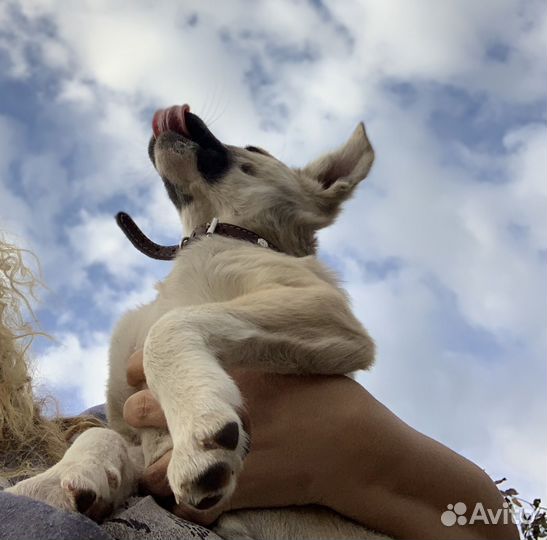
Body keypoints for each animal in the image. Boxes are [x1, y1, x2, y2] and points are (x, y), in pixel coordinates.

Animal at [8, 103, 386, 536]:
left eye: (255, 148)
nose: (173, 112)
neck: (217, 230)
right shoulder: (143, 449)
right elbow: (100, 435)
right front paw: (50, 482)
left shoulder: (326, 309)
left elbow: (168, 328)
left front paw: (198, 427)